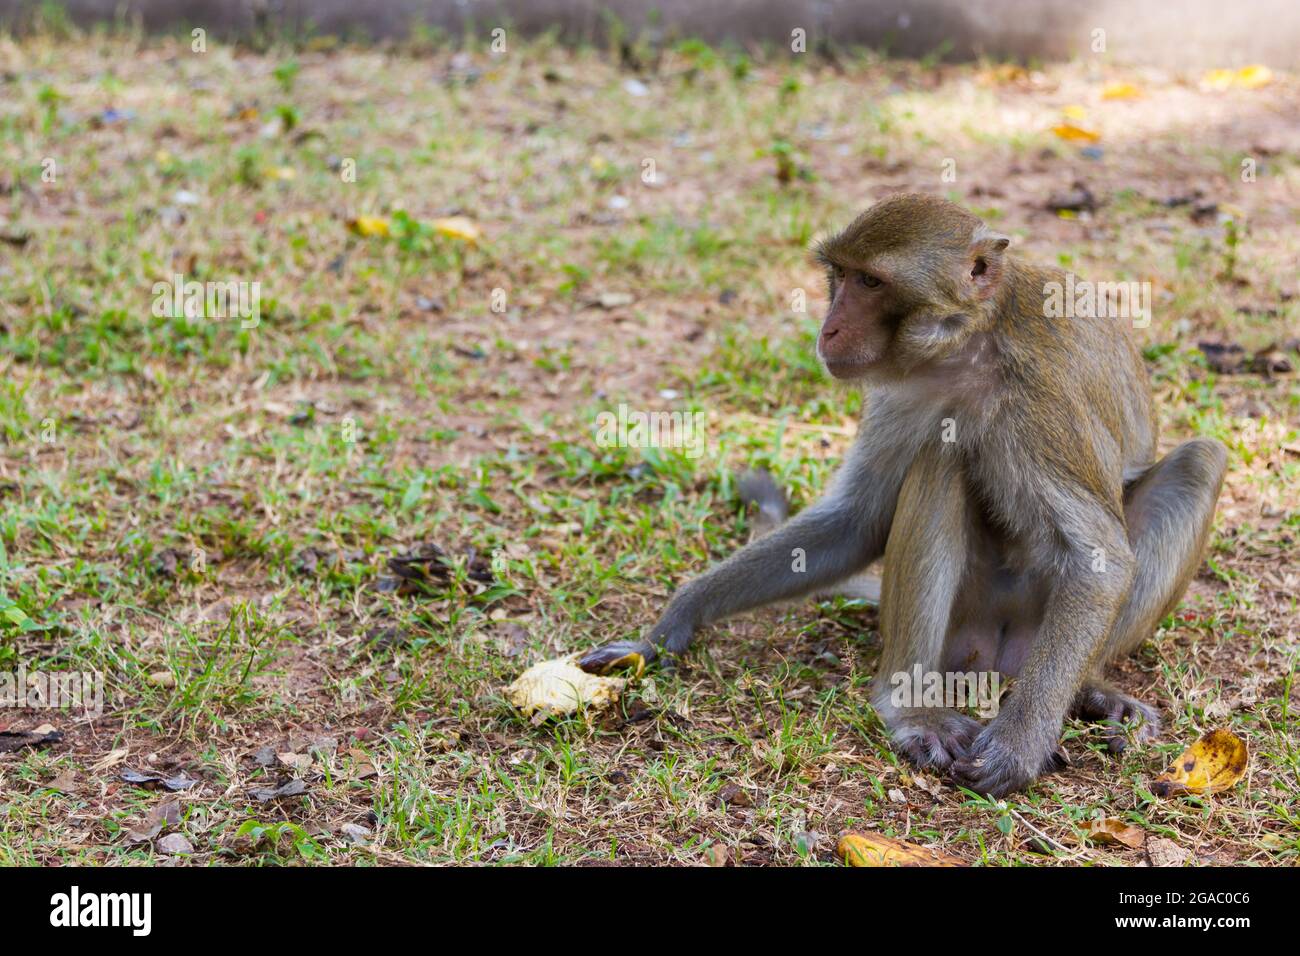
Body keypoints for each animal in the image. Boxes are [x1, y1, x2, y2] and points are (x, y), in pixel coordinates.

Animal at [580, 193, 1227, 797]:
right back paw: (911, 706)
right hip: (967, 630)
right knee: (942, 459)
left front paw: (1020, 744)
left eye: (871, 282)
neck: (970, 343)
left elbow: (1100, 559)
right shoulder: (904, 392)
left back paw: (1085, 685)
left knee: (1199, 462)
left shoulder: (1042, 397)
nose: (829, 328)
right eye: (840, 275)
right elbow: (857, 523)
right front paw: (670, 624)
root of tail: (1001, 659)